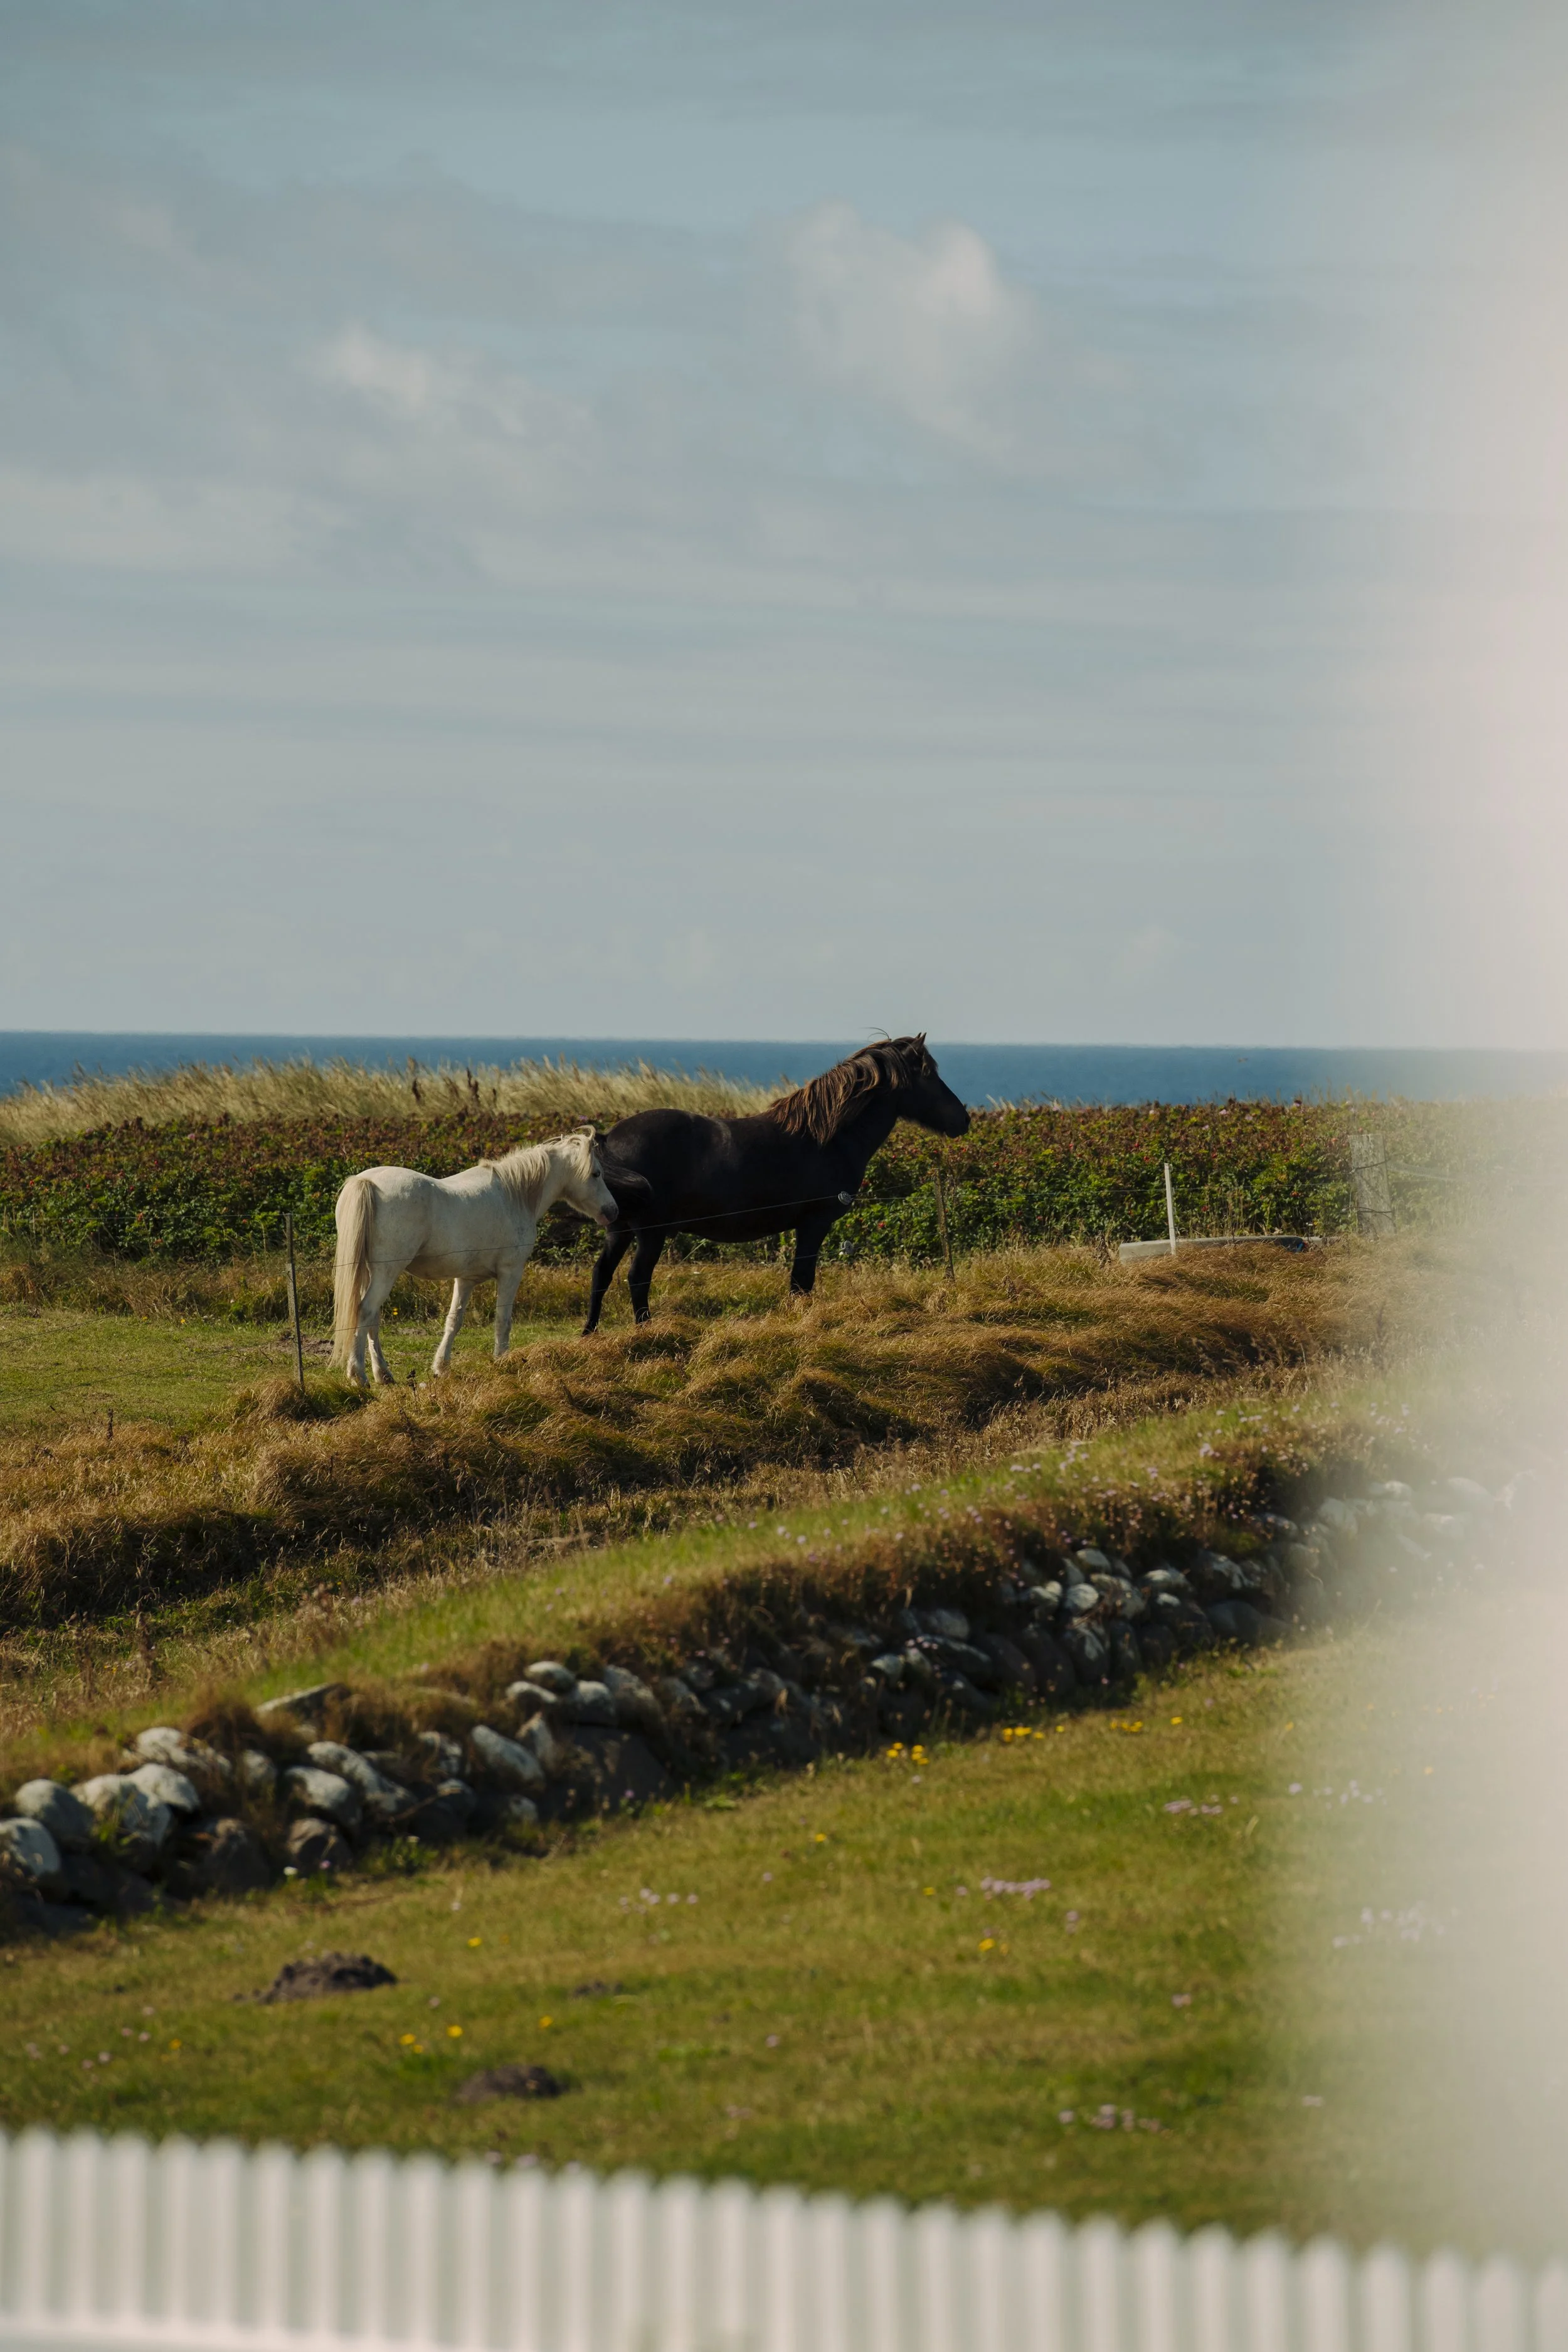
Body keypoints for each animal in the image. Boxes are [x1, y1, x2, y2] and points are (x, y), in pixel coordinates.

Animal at [332, 1129, 624, 1386]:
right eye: (596, 1173)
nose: (613, 1211)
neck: (514, 1195)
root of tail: (367, 1182)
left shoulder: (466, 1280)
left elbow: (454, 1321)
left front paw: (441, 1368)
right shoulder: (511, 1272)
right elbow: (503, 1320)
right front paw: (503, 1362)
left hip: (372, 1272)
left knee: (372, 1318)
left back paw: (383, 1374)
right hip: (386, 1273)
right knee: (365, 1311)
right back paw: (359, 1375)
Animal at [580, 1035, 970, 1333]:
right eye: (929, 1074)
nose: (963, 1119)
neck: (826, 1139)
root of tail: (609, 1137)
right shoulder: (815, 1223)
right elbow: (802, 1280)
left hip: (620, 1229)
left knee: (602, 1274)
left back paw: (590, 1332)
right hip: (650, 1232)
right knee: (637, 1277)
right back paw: (645, 1331)